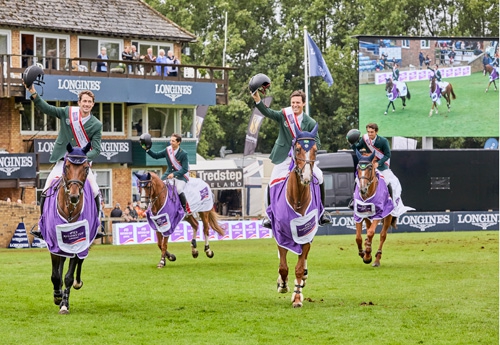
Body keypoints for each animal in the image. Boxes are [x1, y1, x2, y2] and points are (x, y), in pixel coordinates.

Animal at [37, 141, 100, 314]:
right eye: (66, 166)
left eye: (85, 168)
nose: (73, 196)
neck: (70, 209)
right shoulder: (53, 242)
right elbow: (55, 275)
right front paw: (57, 296)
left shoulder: (79, 242)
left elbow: (68, 277)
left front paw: (64, 303)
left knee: (78, 263)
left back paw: (76, 284)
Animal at [268, 123, 322, 306]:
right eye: (297, 149)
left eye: (315, 150)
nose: (306, 177)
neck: (297, 198)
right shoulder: (280, 232)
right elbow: (283, 266)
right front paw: (283, 284)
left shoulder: (307, 232)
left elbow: (298, 267)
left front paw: (297, 297)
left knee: (302, 259)